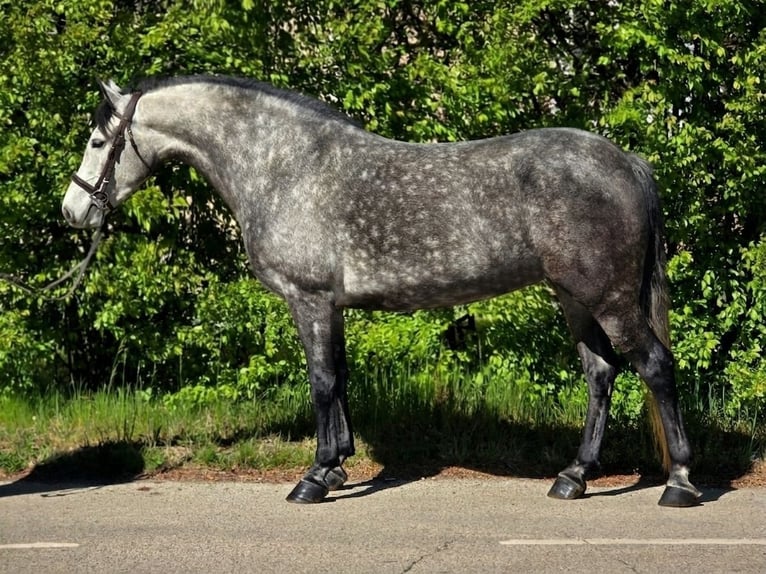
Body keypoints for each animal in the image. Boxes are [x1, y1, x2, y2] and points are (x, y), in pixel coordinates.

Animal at [62, 75, 701, 507]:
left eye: (97, 141)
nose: (72, 212)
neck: (282, 166)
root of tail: (627, 161)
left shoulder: (309, 299)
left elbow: (321, 381)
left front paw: (313, 478)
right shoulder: (331, 307)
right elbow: (340, 378)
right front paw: (338, 466)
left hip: (609, 299)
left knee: (654, 366)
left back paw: (679, 482)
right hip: (574, 297)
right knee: (601, 373)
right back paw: (574, 477)